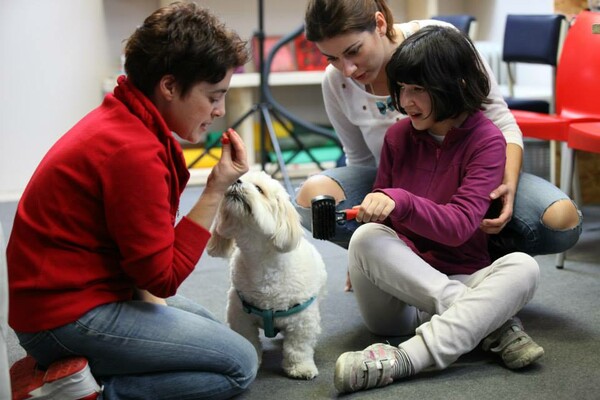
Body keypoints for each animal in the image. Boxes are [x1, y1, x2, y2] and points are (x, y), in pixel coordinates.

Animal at [207, 171, 328, 378]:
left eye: (259, 189)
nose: (236, 180)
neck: (262, 263)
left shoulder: (302, 321)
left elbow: (298, 348)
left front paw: (300, 367)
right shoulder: (240, 317)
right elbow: (250, 341)